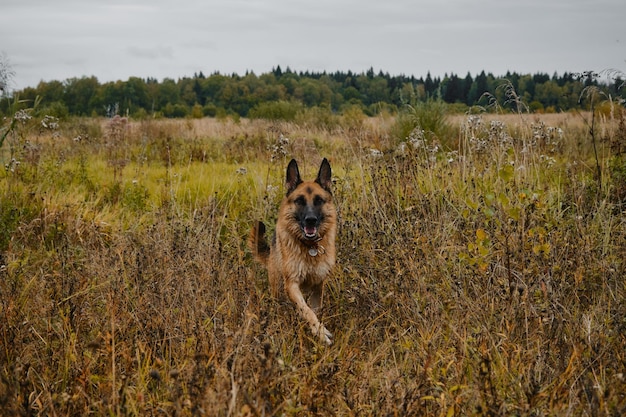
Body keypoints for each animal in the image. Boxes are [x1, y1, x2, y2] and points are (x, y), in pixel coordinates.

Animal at [249, 158, 336, 342]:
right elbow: (306, 310)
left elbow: (314, 310)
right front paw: (319, 331)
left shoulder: (318, 285)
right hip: (277, 287)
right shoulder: (292, 284)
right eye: (300, 201)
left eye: (319, 200)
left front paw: (317, 330)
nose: (311, 220)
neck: (309, 247)